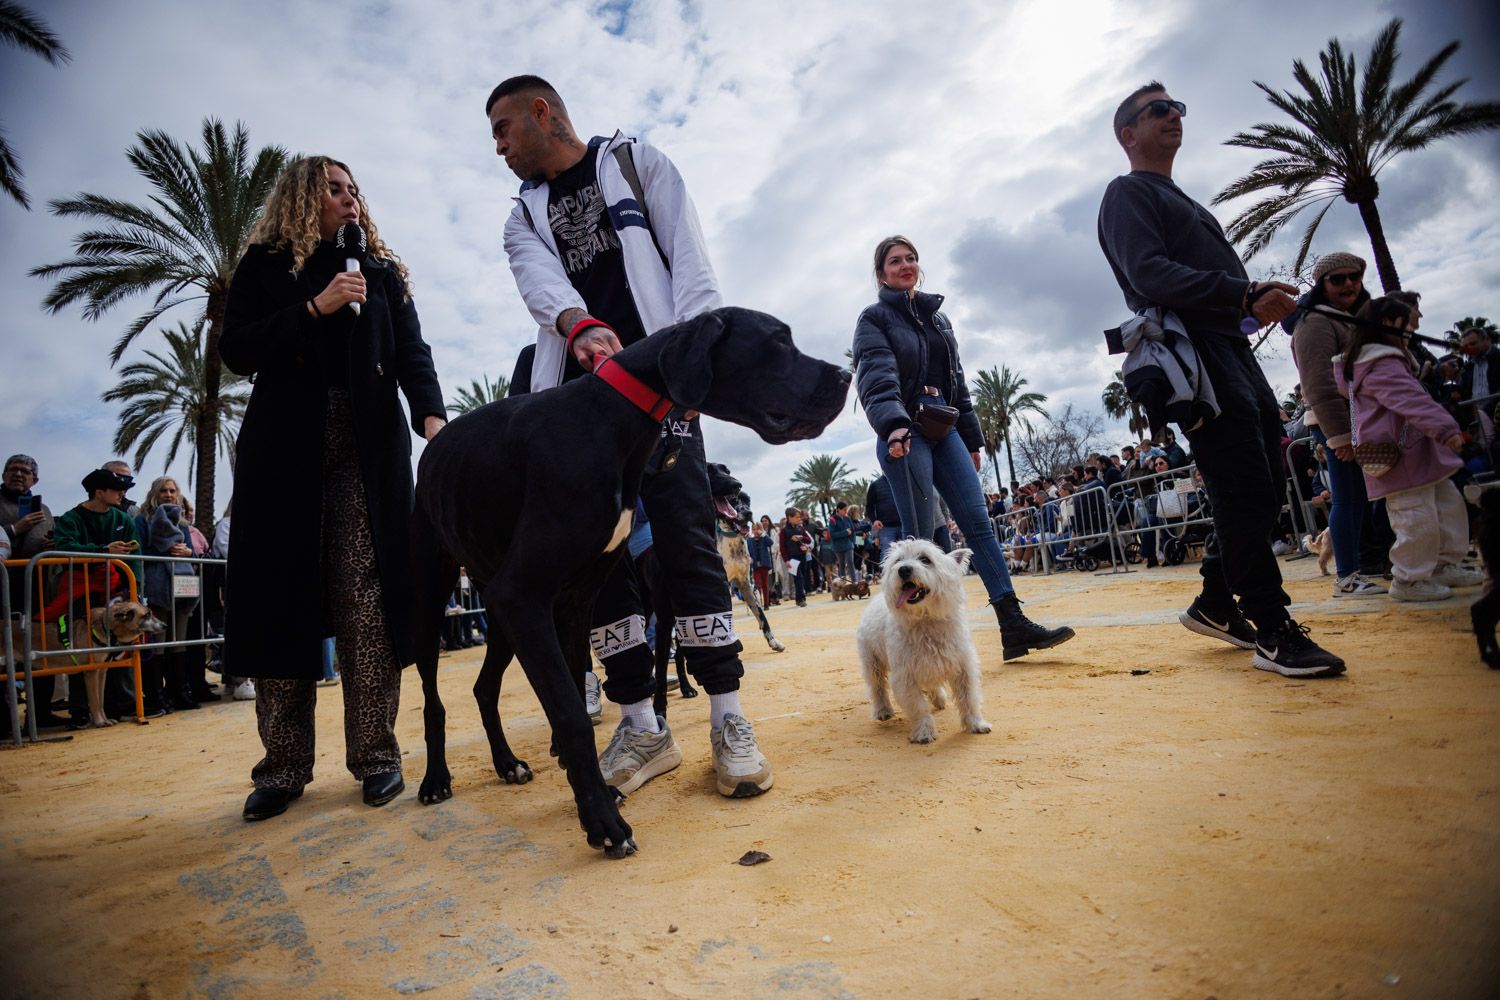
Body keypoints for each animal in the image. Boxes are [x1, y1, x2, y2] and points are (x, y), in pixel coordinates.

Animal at [410, 307, 849, 857]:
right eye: (778, 341)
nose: (847, 375)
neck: (608, 420)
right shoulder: (524, 595)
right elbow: (572, 716)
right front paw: (601, 820)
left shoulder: (573, 599)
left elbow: (576, 691)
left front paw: (593, 790)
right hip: (435, 600)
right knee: (432, 699)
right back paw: (435, 779)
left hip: (500, 612)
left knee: (484, 688)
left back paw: (506, 762)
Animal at [855, 539, 991, 744]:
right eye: (898, 560)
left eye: (925, 559)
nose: (903, 569)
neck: (925, 620)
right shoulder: (905, 675)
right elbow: (918, 706)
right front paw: (924, 733)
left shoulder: (962, 666)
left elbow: (969, 698)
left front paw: (976, 724)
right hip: (872, 661)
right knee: (877, 686)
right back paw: (883, 710)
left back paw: (939, 698)